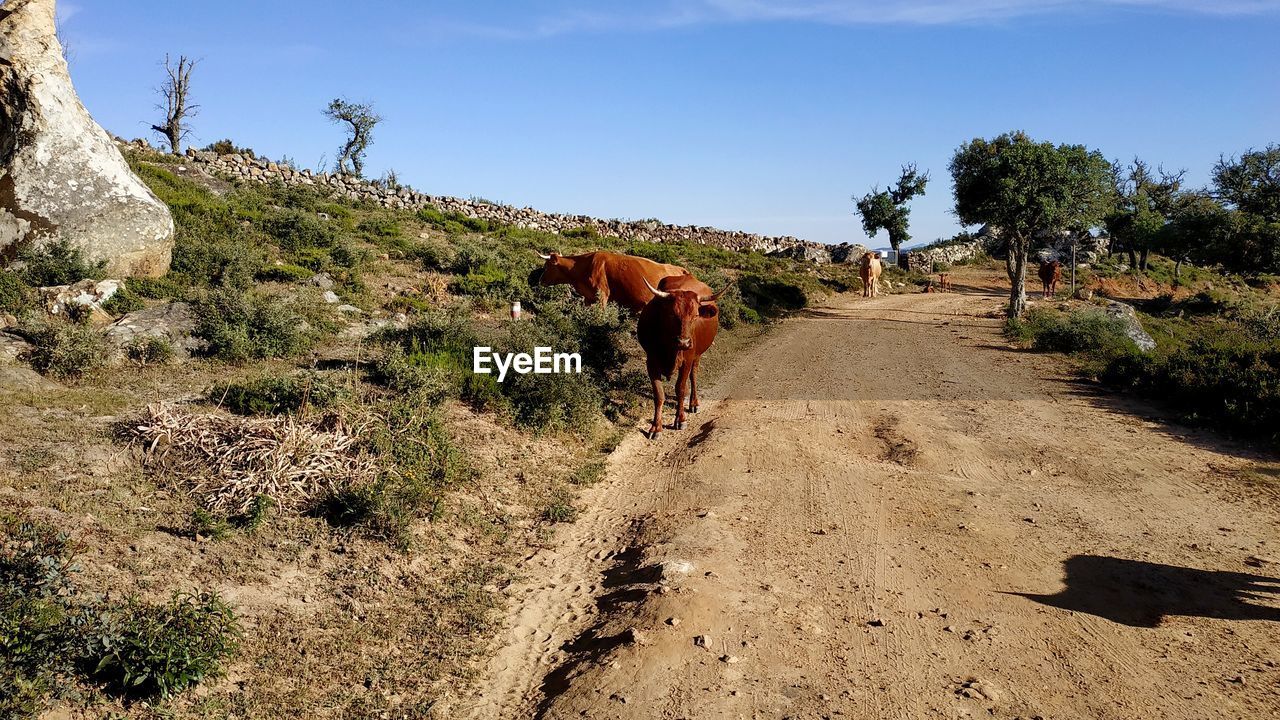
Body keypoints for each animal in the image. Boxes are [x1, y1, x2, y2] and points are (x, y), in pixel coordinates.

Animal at [634, 271, 727, 435]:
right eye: (672, 315)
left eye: (695, 316)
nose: (684, 342)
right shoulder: (651, 361)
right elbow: (659, 394)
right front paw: (656, 427)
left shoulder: (687, 361)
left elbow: (680, 388)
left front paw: (680, 419)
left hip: (697, 355)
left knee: (693, 375)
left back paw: (694, 403)